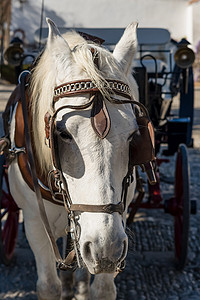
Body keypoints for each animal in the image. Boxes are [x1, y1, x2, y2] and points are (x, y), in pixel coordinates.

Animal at [7, 18, 139, 300]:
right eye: (62, 133)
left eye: (134, 135)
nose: (106, 249)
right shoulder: (34, 222)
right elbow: (48, 286)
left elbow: (103, 289)